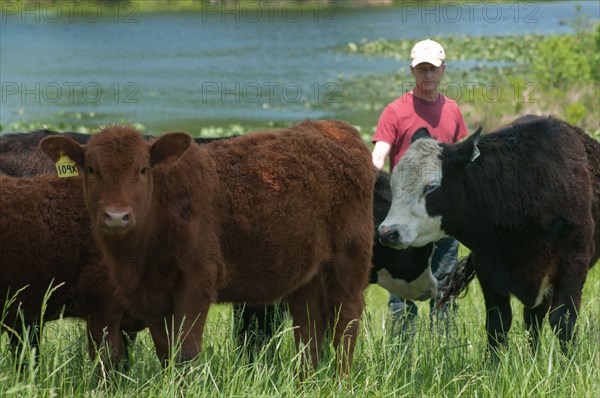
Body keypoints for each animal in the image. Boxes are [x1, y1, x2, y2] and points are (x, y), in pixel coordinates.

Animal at [39, 120, 376, 370]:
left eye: (142, 169)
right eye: (91, 169)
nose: (116, 216)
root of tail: (333, 127)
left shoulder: (197, 281)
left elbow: (187, 351)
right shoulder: (151, 298)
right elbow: (166, 352)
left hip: (350, 257)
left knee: (346, 321)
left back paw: (340, 380)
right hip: (307, 274)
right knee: (309, 326)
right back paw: (308, 380)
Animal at [380, 116, 600, 354]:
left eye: (430, 187)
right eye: (393, 184)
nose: (387, 232)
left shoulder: (572, 264)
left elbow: (563, 321)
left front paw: (569, 361)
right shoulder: (487, 268)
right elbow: (498, 323)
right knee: (533, 318)